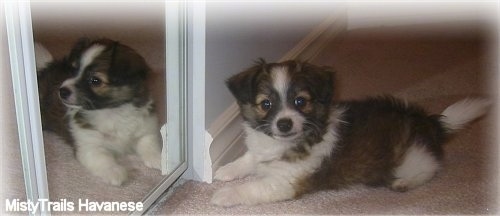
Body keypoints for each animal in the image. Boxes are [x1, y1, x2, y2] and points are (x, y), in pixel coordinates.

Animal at [37, 38, 162, 186]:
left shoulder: (146, 128)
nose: (62, 91)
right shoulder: (89, 146)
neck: (112, 111)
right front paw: (114, 171)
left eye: (95, 80)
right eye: (73, 71)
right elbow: (103, 158)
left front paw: (160, 159)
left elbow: (149, 144)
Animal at [210, 58, 488, 206]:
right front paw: (225, 171)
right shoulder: (260, 152)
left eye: (300, 101)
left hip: (411, 156)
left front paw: (223, 195)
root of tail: (429, 123)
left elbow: (251, 188)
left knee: (431, 167)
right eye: (266, 104)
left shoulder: (285, 183)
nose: (285, 124)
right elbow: (248, 159)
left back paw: (404, 183)